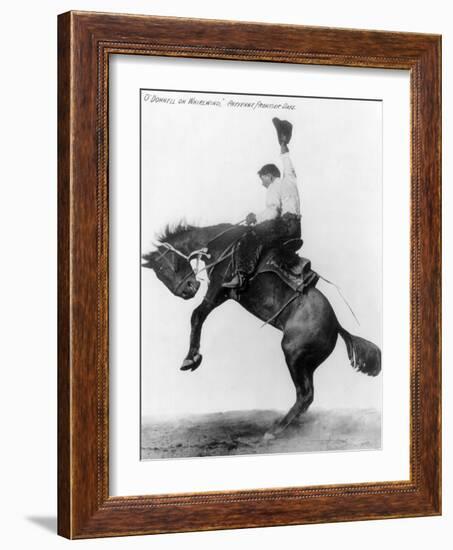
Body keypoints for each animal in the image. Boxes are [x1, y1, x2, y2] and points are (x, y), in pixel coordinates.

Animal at [142, 222, 382, 442]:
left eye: (162, 268)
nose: (188, 290)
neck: (218, 244)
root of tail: (337, 325)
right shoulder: (223, 295)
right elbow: (199, 315)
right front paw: (193, 357)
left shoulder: (217, 289)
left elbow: (197, 315)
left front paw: (191, 359)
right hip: (308, 363)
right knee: (307, 396)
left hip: (293, 354)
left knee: (304, 395)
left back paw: (273, 431)